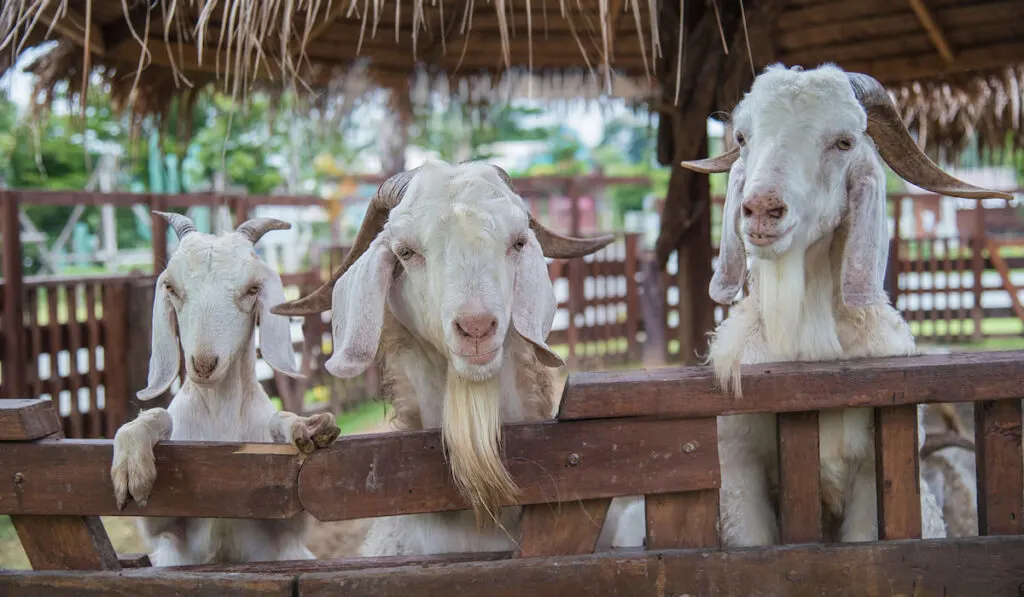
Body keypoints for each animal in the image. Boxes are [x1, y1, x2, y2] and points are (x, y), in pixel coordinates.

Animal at [111, 214, 339, 565]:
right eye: (172, 288)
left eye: (252, 289)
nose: (204, 364)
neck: (220, 423)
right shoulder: (166, 530)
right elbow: (158, 415)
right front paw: (131, 464)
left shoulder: (286, 524)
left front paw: (304, 427)